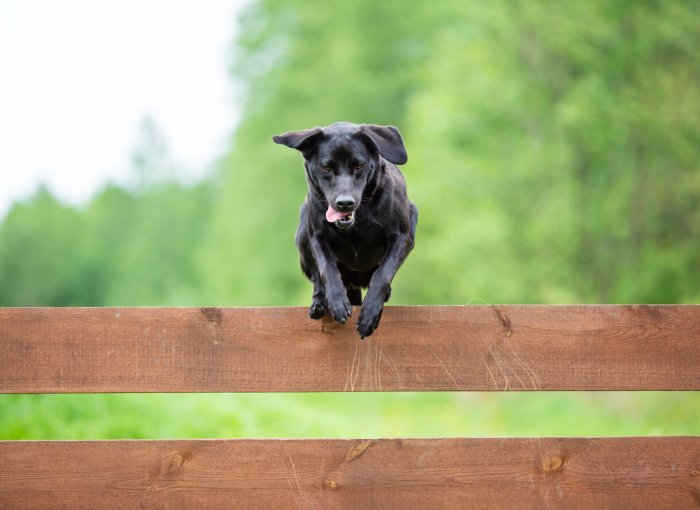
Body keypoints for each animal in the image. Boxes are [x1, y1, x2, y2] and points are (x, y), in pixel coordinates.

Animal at [272, 122, 416, 338]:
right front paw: (337, 301)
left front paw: (370, 313)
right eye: (326, 167)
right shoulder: (317, 237)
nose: (345, 203)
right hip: (303, 232)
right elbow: (326, 269)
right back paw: (319, 303)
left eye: (359, 166)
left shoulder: (402, 237)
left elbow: (383, 273)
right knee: (317, 279)